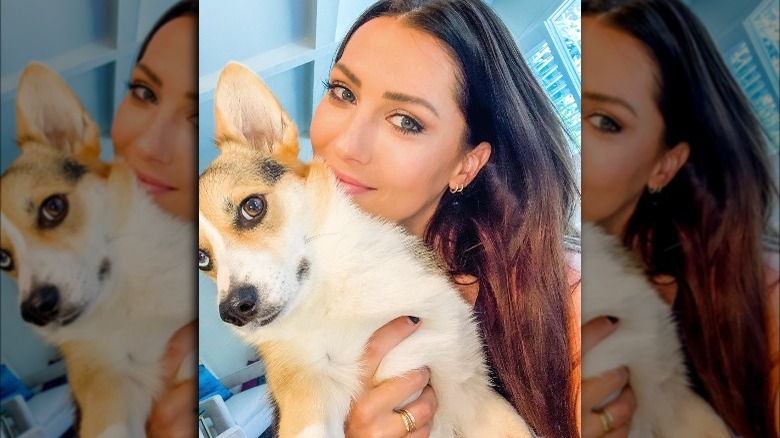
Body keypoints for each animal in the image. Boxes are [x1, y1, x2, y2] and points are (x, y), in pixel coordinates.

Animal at [198, 62, 532, 438]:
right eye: (202, 259)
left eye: (252, 206)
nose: (233, 310)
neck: (332, 290)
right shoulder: (305, 390)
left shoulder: (467, 387)